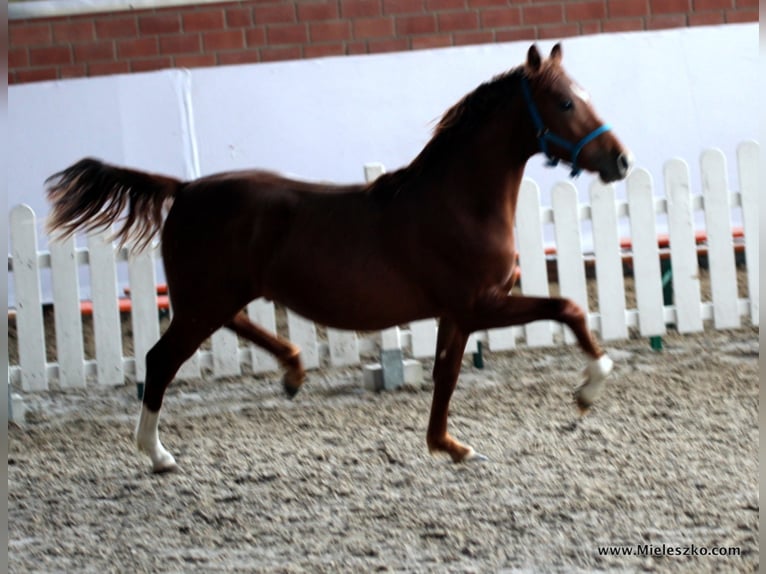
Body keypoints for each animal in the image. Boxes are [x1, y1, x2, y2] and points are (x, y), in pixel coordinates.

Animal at [46, 43, 631, 473]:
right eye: (564, 103)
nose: (620, 161)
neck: (458, 200)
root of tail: (184, 188)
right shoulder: (479, 304)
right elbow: (568, 309)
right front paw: (588, 388)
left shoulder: (456, 314)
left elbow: (445, 375)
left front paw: (448, 445)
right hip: (203, 301)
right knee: (159, 361)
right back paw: (159, 454)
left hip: (213, 296)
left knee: (229, 329)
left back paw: (292, 371)